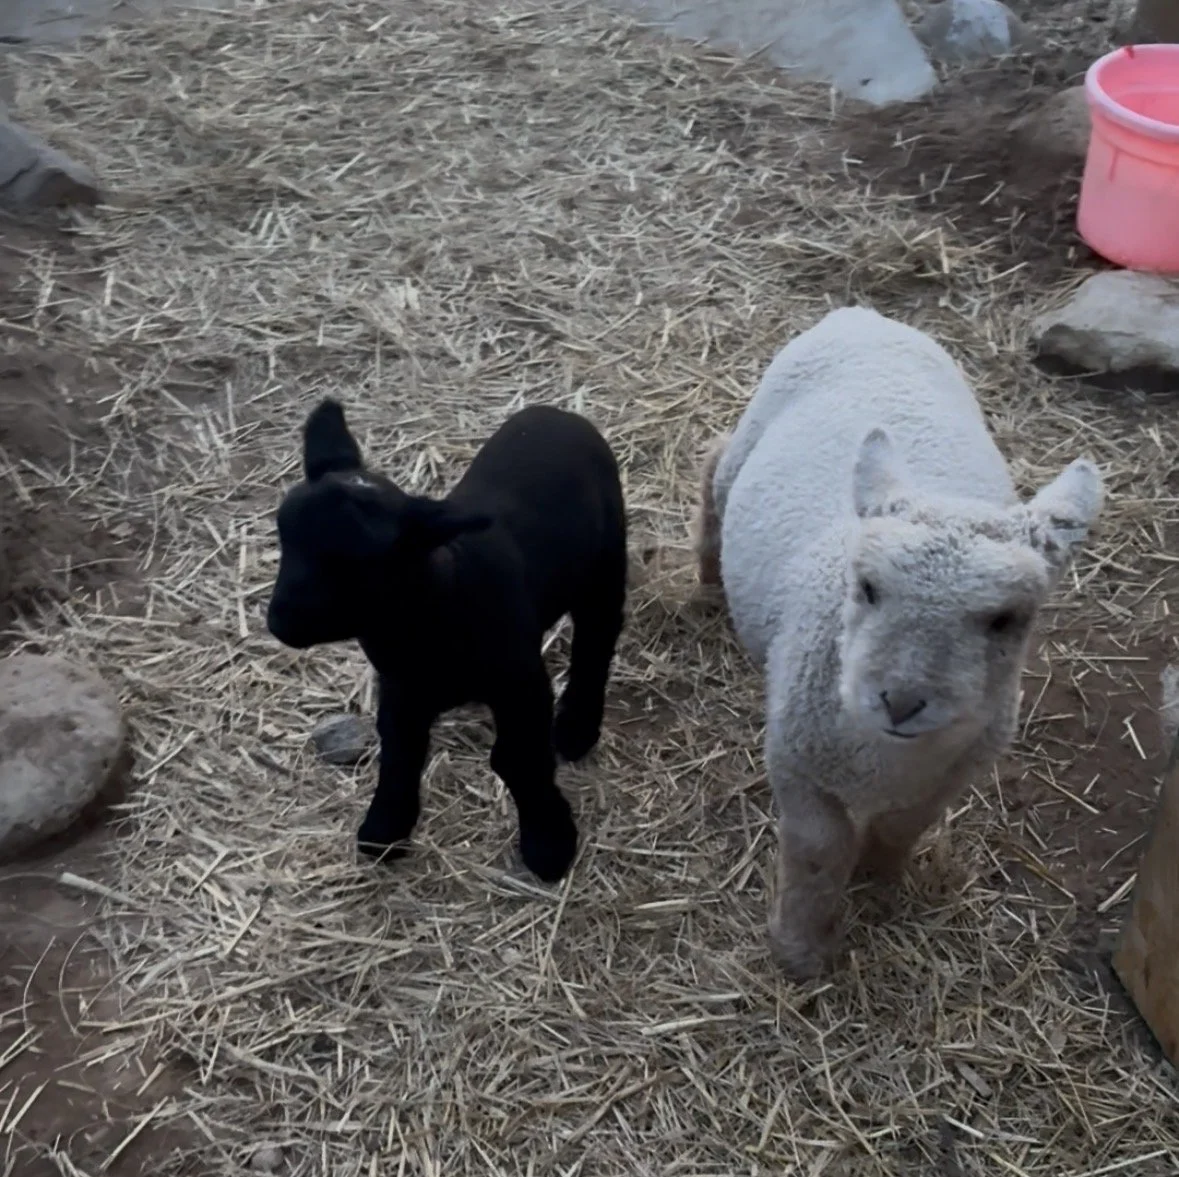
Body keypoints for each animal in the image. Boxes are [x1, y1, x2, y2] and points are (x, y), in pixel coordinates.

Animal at [266, 399, 627, 883]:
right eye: (285, 536)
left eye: (358, 563)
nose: (279, 621)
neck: (439, 603)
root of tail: (559, 414)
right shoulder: (401, 688)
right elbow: (399, 751)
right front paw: (386, 827)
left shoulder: (520, 681)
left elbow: (517, 758)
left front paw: (548, 842)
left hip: (605, 563)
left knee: (597, 638)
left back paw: (576, 726)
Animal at [692, 306, 1105, 979]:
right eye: (866, 587)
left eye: (1007, 619)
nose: (902, 701)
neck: (886, 756)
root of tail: (862, 313)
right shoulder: (795, 759)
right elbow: (816, 850)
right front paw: (799, 949)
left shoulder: (954, 774)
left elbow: (901, 826)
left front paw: (878, 884)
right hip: (753, 432)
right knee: (718, 461)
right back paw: (705, 571)